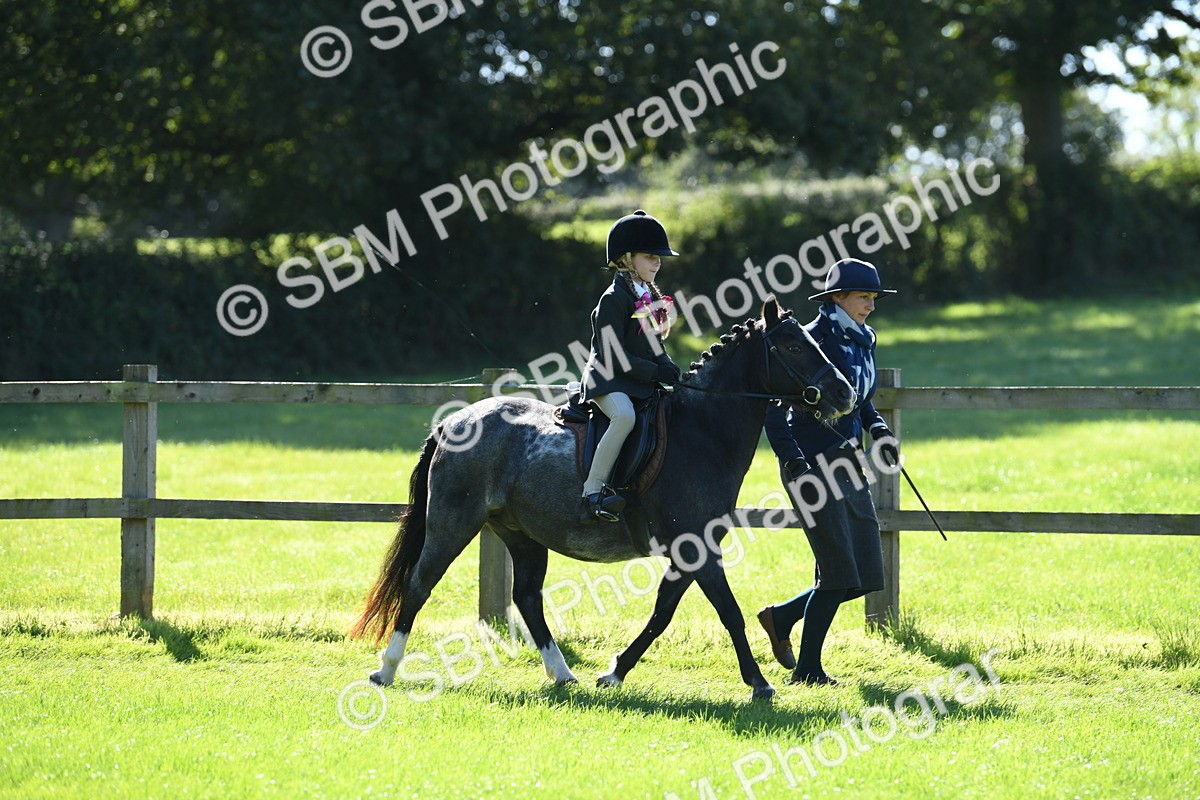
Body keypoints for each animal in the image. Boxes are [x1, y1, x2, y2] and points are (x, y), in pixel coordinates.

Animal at [349, 297, 857, 701]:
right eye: (794, 346)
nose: (844, 392)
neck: (703, 431)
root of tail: (453, 421)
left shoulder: (689, 549)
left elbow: (663, 611)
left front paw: (614, 673)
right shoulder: (696, 546)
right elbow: (728, 611)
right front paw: (759, 684)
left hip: (520, 534)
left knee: (527, 597)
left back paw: (562, 675)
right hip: (453, 523)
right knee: (420, 584)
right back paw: (385, 670)